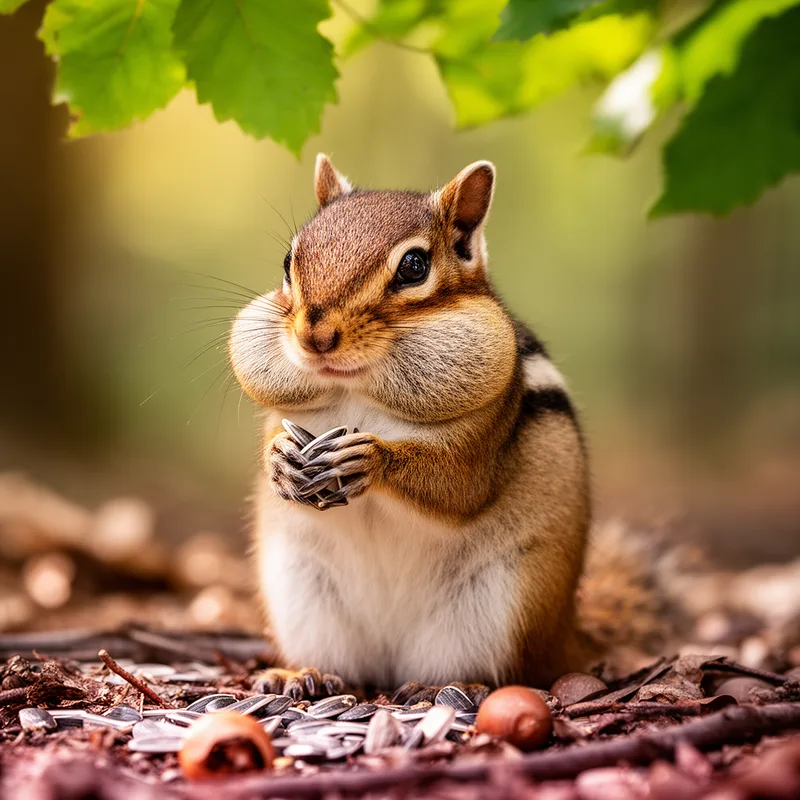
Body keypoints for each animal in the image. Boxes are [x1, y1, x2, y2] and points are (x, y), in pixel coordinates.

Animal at [229, 155, 676, 698]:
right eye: (288, 261)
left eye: (414, 266)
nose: (315, 336)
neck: (356, 389)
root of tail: (567, 635)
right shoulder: (285, 415)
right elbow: (273, 442)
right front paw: (279, 462)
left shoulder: (486, 434)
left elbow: (460, 486)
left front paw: (369, 458)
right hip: (303, 597)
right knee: (345, 667)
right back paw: (302, 675)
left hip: (502, 606)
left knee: (502, 671)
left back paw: (447, 687)